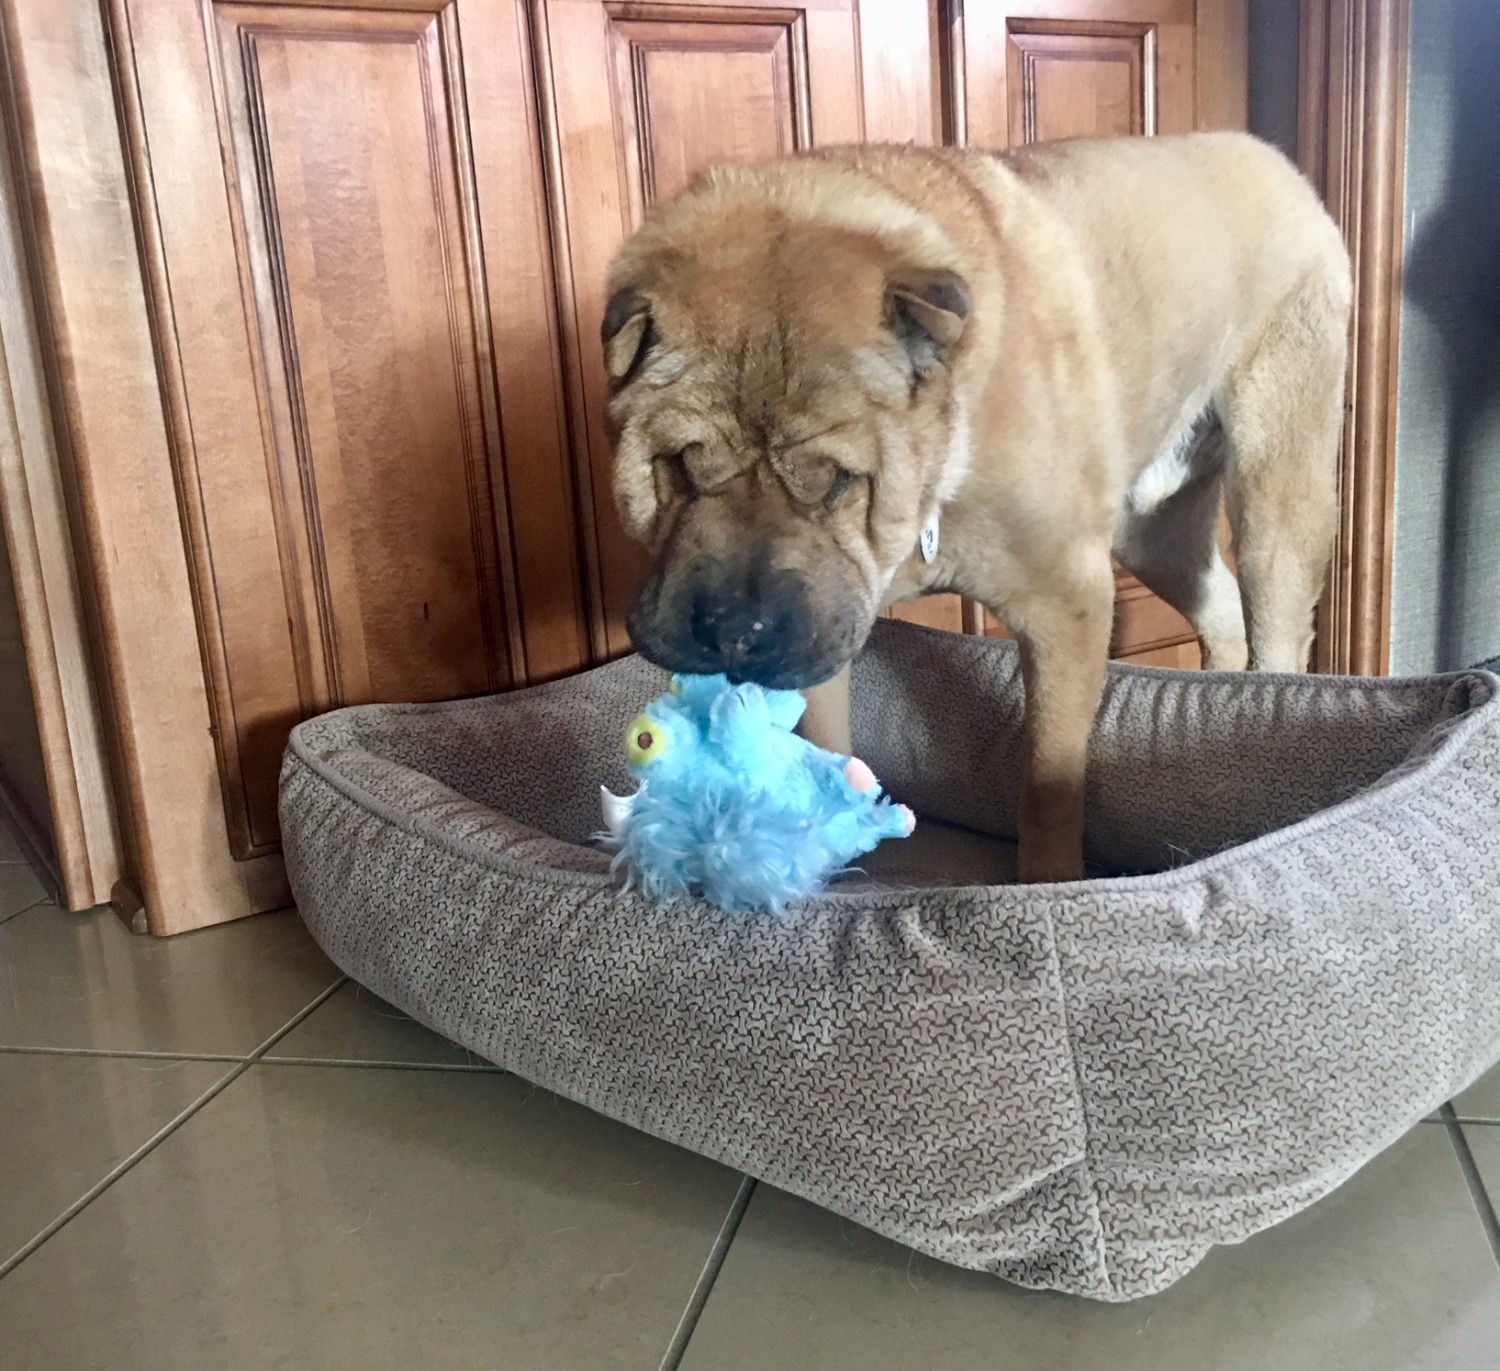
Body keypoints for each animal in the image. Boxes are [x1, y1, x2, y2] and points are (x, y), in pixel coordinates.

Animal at [603, 133, 1356, 882]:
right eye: (680, 463)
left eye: (837, 480)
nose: (734, 630)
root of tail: (1264, 153)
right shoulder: (826, 631)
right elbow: (826, 745)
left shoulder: (1067, 605)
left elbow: (1048, 787)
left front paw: (1048, 885)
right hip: (1152, 532)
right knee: (1220, 607)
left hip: (1276, 499)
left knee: (1274, 623)